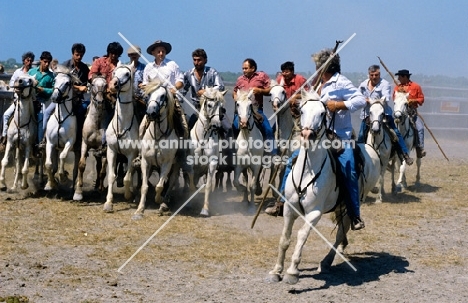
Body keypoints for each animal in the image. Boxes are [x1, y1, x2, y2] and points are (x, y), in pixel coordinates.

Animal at [133, 80, 181, 218]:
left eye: (163, 96)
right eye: (149, 95)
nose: (150, 113)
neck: (157, 136)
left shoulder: (167, 163)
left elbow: (159, 186)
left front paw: (159, 201)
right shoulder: (145, 162)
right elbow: (144, 186)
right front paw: (140, 210)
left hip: (176, 165)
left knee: (171, 182)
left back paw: (164, 203)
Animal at [190, 86, 227, 217]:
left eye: (222, 107)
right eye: (210, 105)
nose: (216, 125)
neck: (203, 137)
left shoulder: (212, 163)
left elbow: (208, 185)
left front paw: (205, 209)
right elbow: (190, 181)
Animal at [268, 90, 382, 284]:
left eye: (322, 113)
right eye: (302, 110)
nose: (307, 135)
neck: (307, 170)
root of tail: (369, 149)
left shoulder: (314, 213)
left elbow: (301, 235)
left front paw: (292, 272)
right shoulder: (289, 209)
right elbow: (285, 238)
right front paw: (276, 271)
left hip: (352, 204)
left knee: (340, 233)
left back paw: (327, 261)